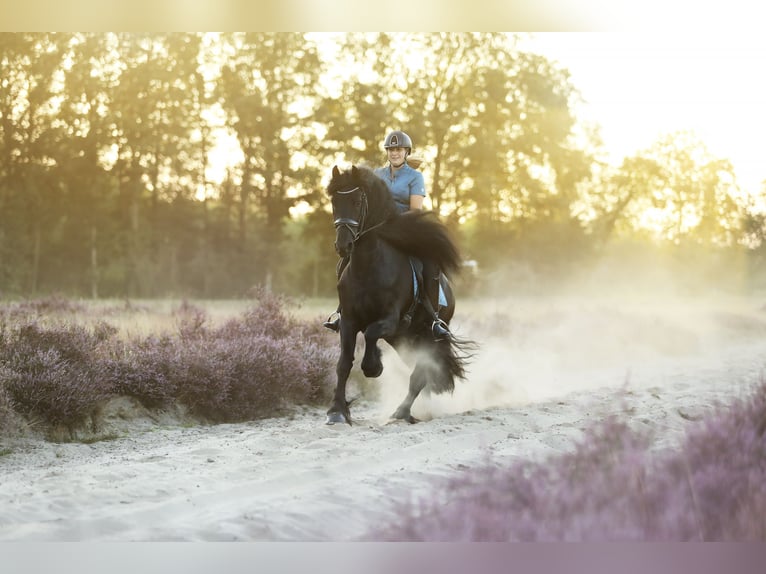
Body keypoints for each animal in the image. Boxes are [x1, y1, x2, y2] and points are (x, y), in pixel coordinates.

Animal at [326, 164, 474, 426]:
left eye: (357, 201)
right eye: (334, 201)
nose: (343, 246)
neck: (368, 267)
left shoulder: (391, 319)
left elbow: (371, 333)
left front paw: (373, 366)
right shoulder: (349, 321)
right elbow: (343, 364)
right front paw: (337, 411)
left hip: (426, 335)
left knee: (421, 372)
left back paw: (402, 412)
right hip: (403, 339)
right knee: (420, 370)